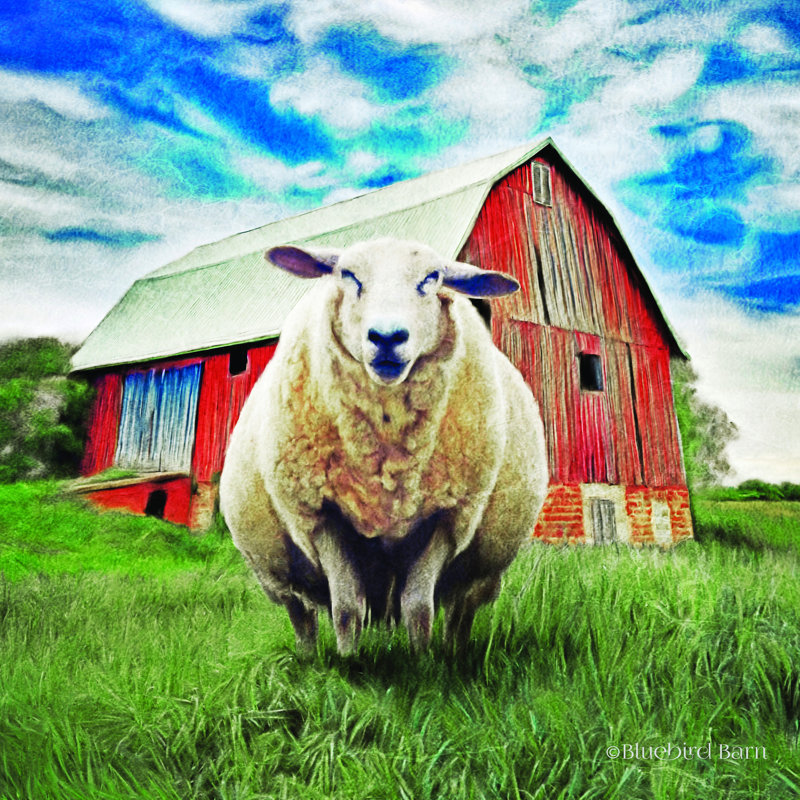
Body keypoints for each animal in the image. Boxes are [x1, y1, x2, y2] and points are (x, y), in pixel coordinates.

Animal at [219, 238, 548, 655]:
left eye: (431, 278)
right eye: (348, 275)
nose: (387, 337)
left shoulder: (447, 518)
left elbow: (419, 607)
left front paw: (423, 660)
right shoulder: (322, 517)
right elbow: (346, 609)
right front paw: (348, 660)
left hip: (480, 569)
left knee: (460, 611)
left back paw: (455, 652)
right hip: (279, 570)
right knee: (302, 615)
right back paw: (309, 656)